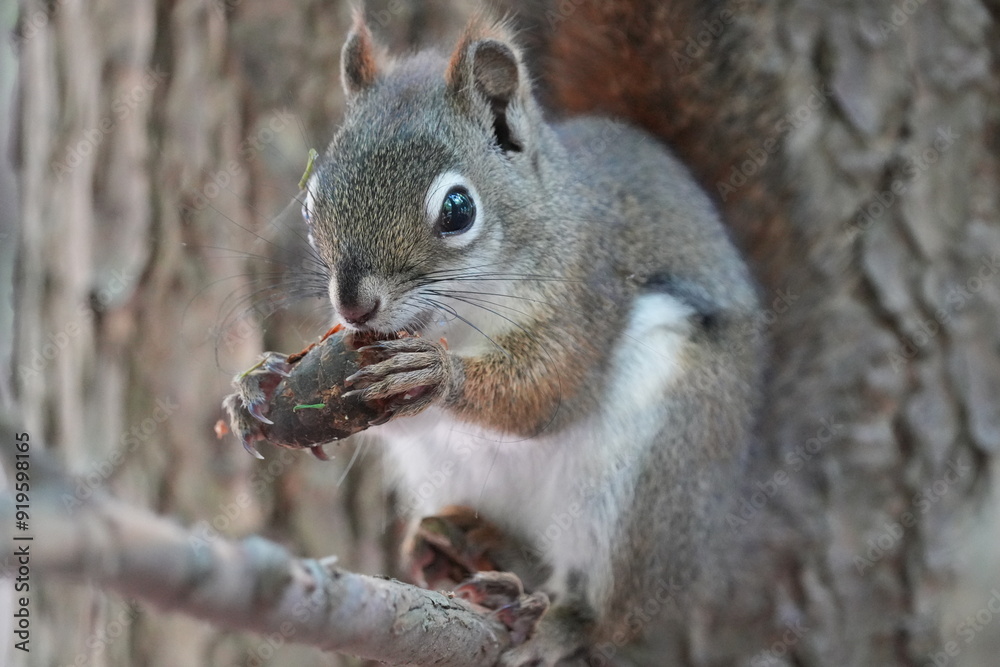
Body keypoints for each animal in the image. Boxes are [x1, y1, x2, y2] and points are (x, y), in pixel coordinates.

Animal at [228, 3, 765, 665]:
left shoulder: (588, 295)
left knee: (618, 607)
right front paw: (260, 381)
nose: (354, 306)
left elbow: (547, 394)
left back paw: (563, 621)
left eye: (458, 209)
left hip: (661, 467)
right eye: (310, 202)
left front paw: (437, 375)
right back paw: (465, 544)